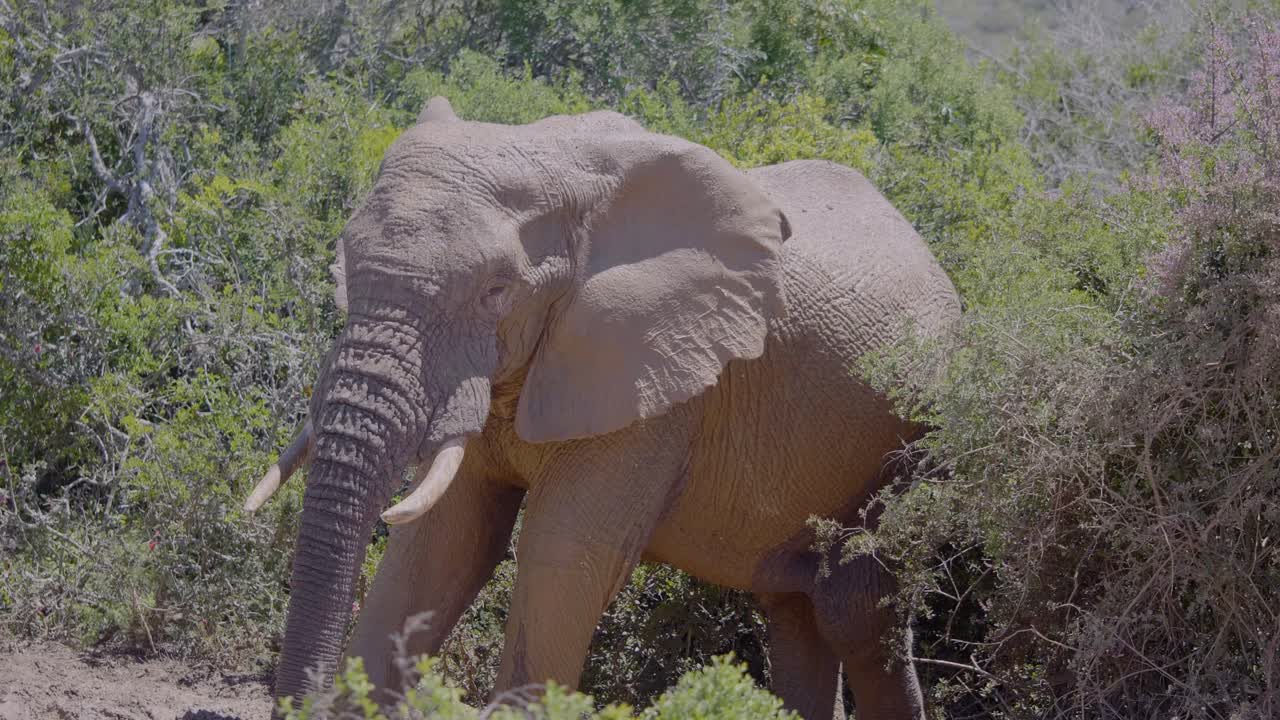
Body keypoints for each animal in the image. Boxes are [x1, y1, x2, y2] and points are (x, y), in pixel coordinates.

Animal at [247, 96, 960, 720]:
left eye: (496, 292)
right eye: (346, 265)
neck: (559, 166)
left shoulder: (660, 383)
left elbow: (561, 557)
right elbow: (440, 542)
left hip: (913, 443)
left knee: (854, 610)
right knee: (794, 612)